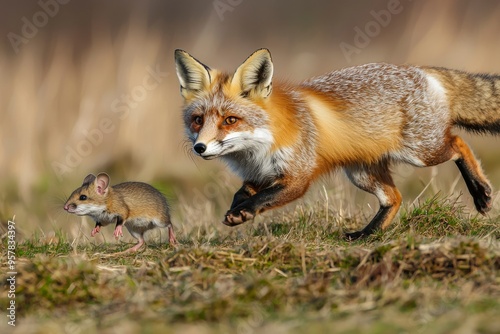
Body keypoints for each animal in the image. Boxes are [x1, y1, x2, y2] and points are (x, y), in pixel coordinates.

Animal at [174, 48, 498, 239]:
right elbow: (241, 194)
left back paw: (481, 193)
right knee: (394, 199)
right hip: (362, 173)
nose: (200, 148)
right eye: (198, 120)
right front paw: (237, 211)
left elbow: (266, 197)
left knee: (458, 143)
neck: (255, 151)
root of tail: (422, 69)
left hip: (421, 152)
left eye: (230, 120)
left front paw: (245, 211)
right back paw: (366, 235)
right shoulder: (257, 175)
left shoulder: (298, 176)